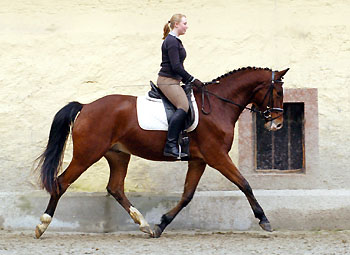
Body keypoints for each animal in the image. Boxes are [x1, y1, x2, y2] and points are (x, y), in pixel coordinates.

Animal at [34, 66, 288, 238]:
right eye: (278, 92)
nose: (277, 124)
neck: (218, 106)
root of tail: (86, 107)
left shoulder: (199, 160)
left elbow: (187, 195)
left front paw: (161, 224)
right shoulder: (217, 156)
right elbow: (244, 184)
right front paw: (264, 220)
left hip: (118, 155)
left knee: (115, 188)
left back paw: (144, 224)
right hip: (87, 155)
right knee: (61, 183)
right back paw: (42, 225)